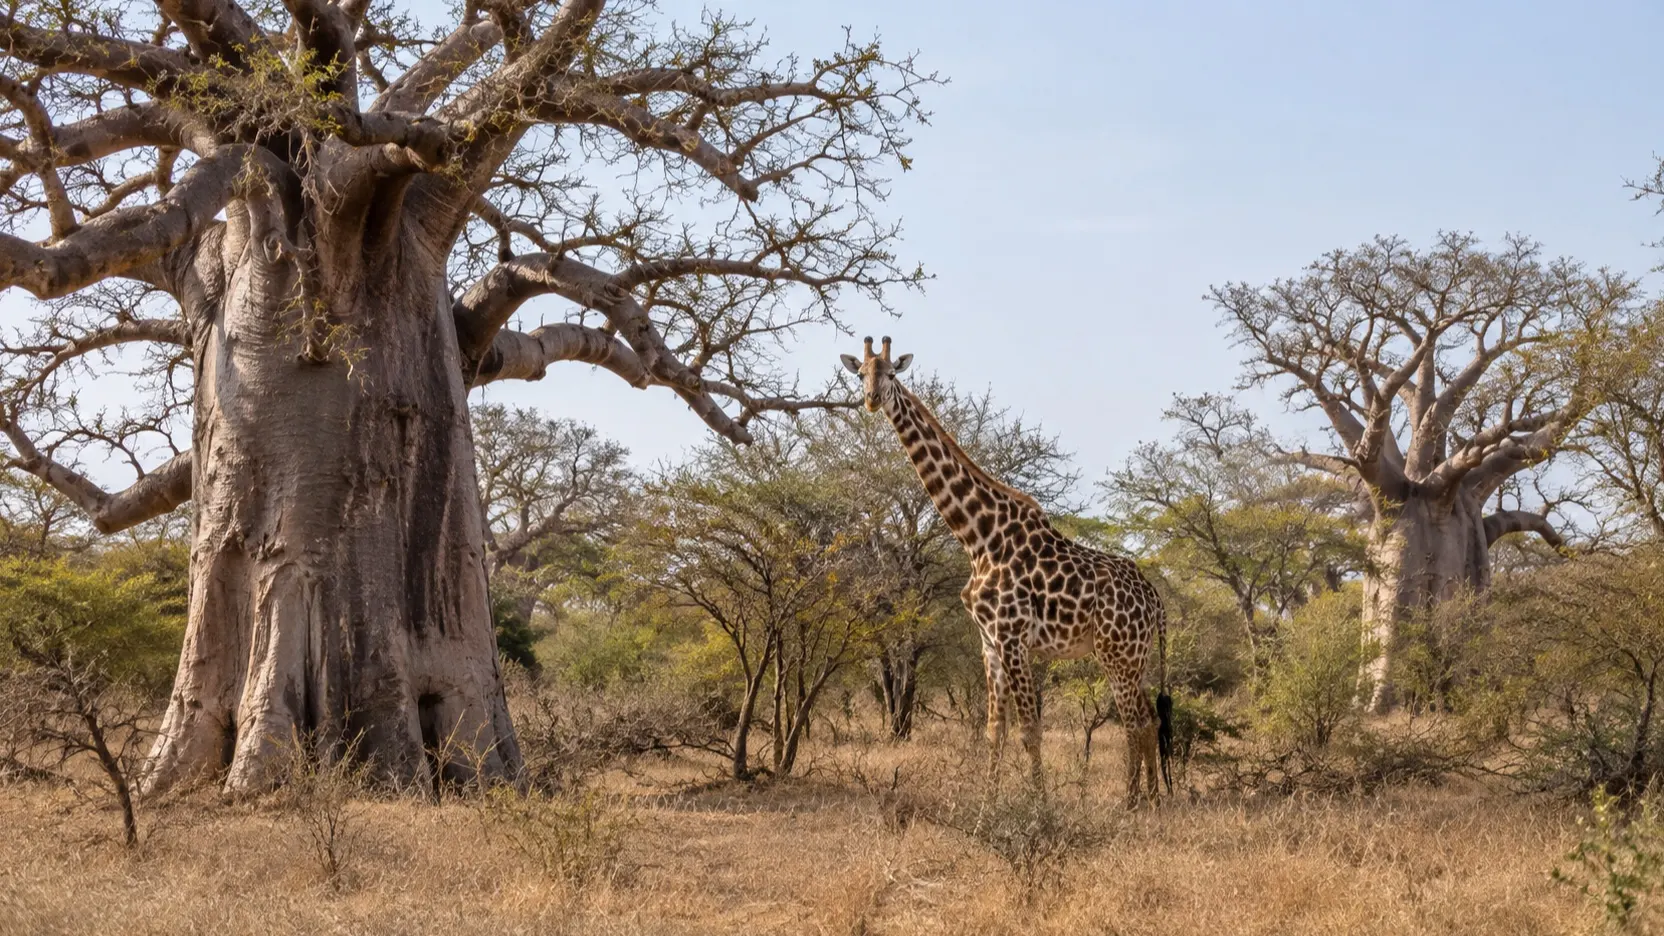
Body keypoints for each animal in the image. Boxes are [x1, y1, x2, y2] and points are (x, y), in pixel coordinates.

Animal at [841, 337, 1172, 804]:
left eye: (890, 374)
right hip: (1135, 657)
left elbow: (1030, 730)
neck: (978, 537)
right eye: (859, 374)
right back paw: (1153, 799)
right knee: (1150, 719)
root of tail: (1155, 600)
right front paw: (987, 804)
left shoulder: (1013, 637)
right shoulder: (989, 641)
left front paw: (1039, 805)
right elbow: (994, 730)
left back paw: (1130, 803)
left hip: (1116, 653)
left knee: (1135, 721)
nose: (871, 400)